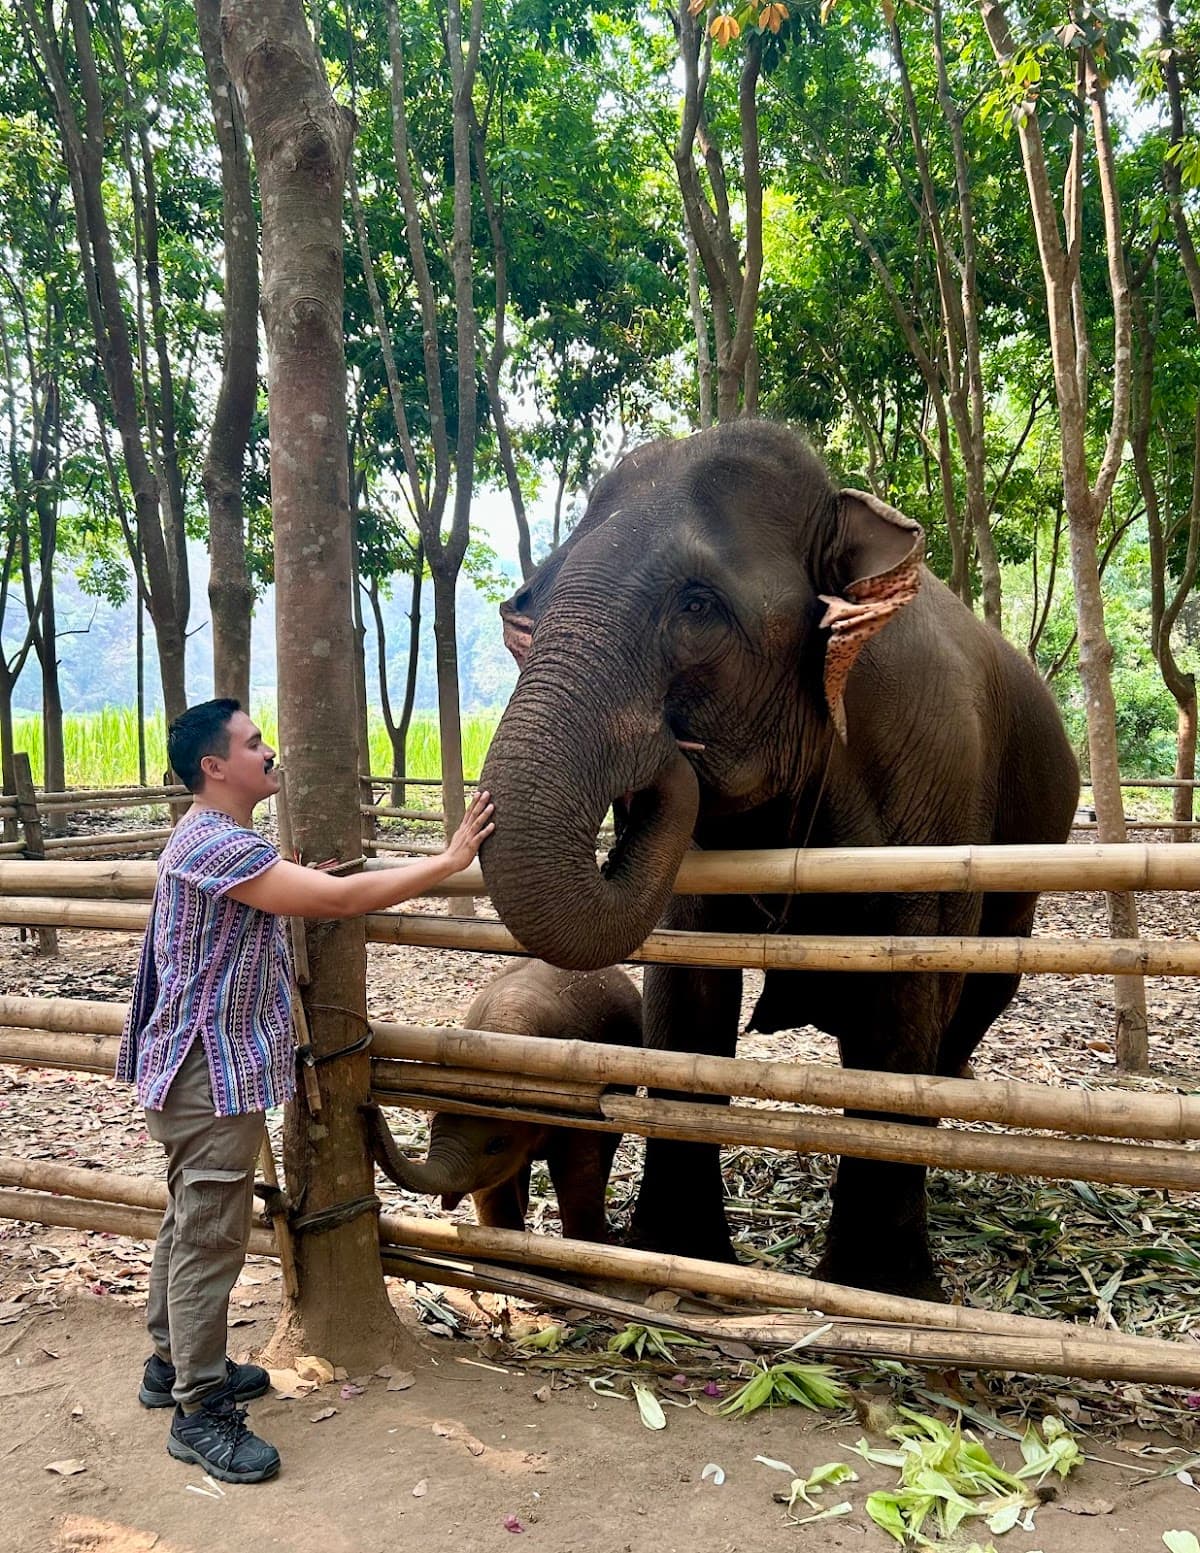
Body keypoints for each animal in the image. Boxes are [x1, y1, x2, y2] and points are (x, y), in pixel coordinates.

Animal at [363, 959, 642, 1242]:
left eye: (496, 1144)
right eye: (429, 1126)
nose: (368, 1105)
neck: (507, 1031)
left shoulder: (578, 1103)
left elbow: (577, 1177)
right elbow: (496, 1191)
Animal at [477, 420, 1079, 1299]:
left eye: (697, 605)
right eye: (533, 607)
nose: (667, 754)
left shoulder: (933, 776)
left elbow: (903, 992)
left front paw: (880, 1290)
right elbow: (689, 984)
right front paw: (677, 1255)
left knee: (978, 992)